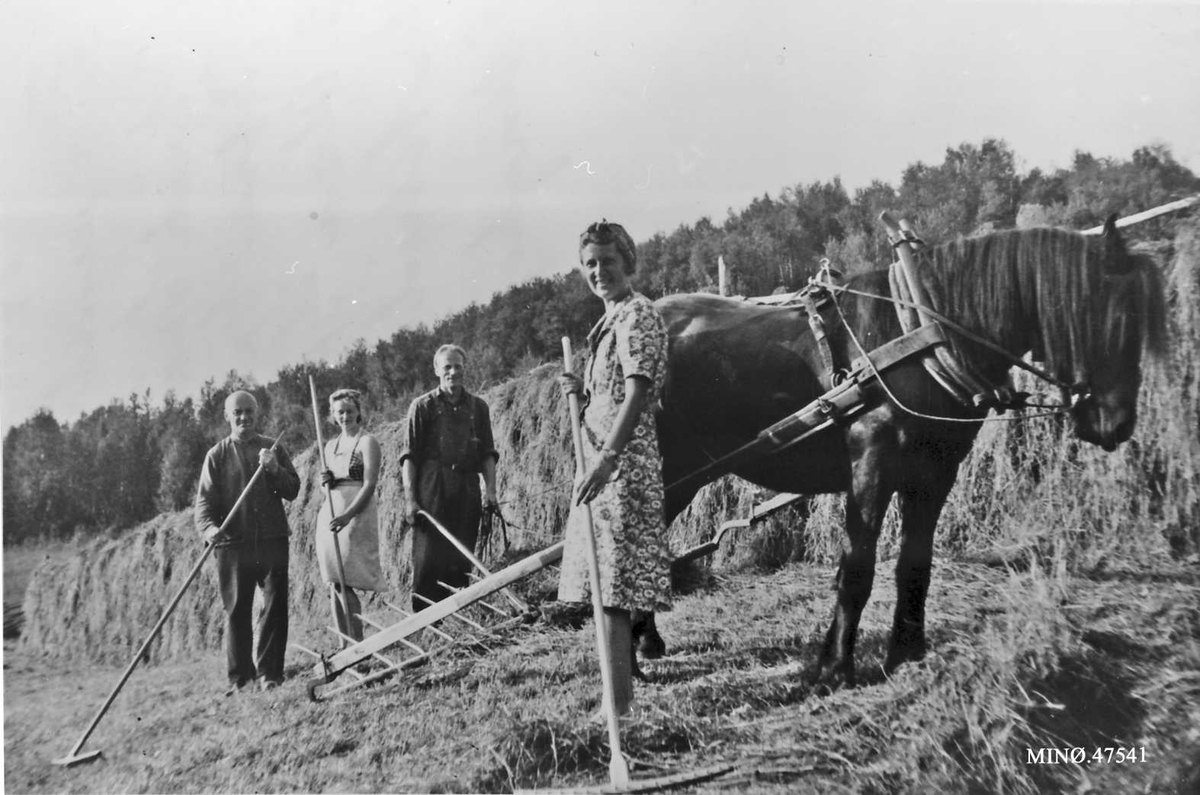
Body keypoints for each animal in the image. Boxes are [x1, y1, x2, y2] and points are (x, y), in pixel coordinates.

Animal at [633, 219, 1166, 691]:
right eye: (1109, 316)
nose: (1117, 425)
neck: (925, 336)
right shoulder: (872, 462)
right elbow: (857, 565)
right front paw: (835, 668)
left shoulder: (935, 472)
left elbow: (915, 562)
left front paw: (907, 654)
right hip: (669, 471)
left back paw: (645, 639)